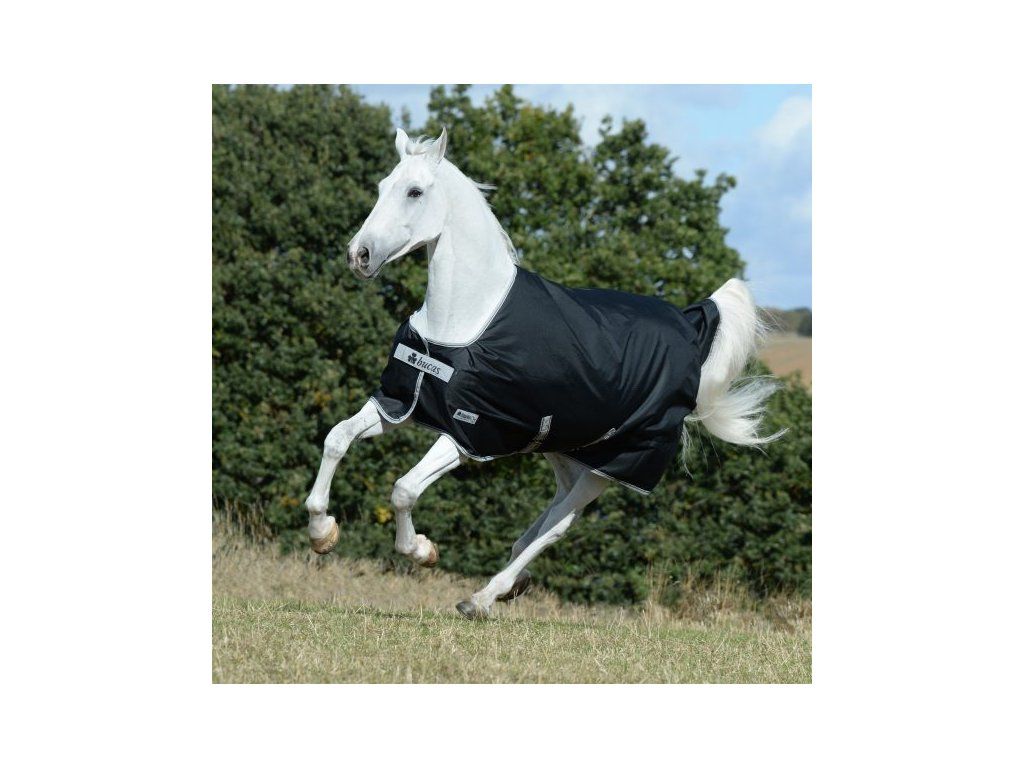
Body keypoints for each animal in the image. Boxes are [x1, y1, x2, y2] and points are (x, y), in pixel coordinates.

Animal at [304, 128, 783, 619]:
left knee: (559, 524)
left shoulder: (468, 434)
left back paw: (483, 598)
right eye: (383, 186)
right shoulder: (400, 403)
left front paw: (421, 550)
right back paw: (513, 582)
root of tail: (691, 330)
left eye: (415, 191)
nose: (359, 255)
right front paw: (323, 533)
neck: (464, 318)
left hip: (611, 466)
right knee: (551, 514)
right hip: (563, 450)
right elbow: (337, 438)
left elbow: (403, 489)